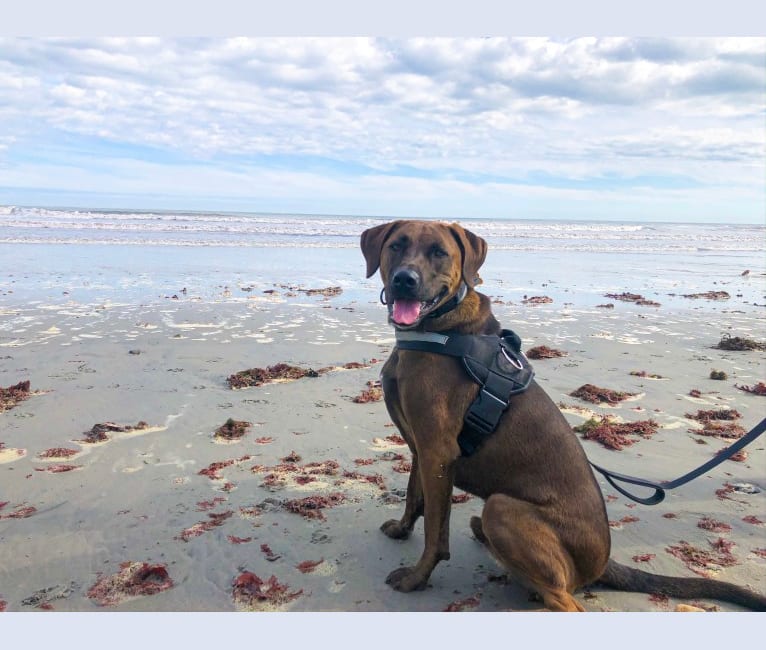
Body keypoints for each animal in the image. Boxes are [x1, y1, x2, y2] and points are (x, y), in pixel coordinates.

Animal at [364, 220, 766, 612]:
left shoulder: (437, 452)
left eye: (439, 253)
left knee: (565, 600)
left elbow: (436, 530)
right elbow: (414, 498)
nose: (404, 279)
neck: (439, 331)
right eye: (396, 245)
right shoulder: (421, 448)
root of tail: (602, 563)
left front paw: (417, 578)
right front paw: (401, 529)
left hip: (501, 508)